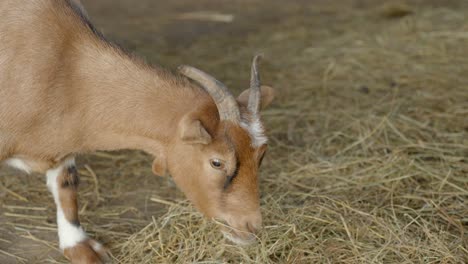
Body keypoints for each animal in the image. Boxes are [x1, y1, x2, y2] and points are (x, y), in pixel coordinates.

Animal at [0, 0, 276, 262]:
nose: (251, 226)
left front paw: (79, 247)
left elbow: (66, 185)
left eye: (261, 156)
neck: (66, 72)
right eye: (217, 162)